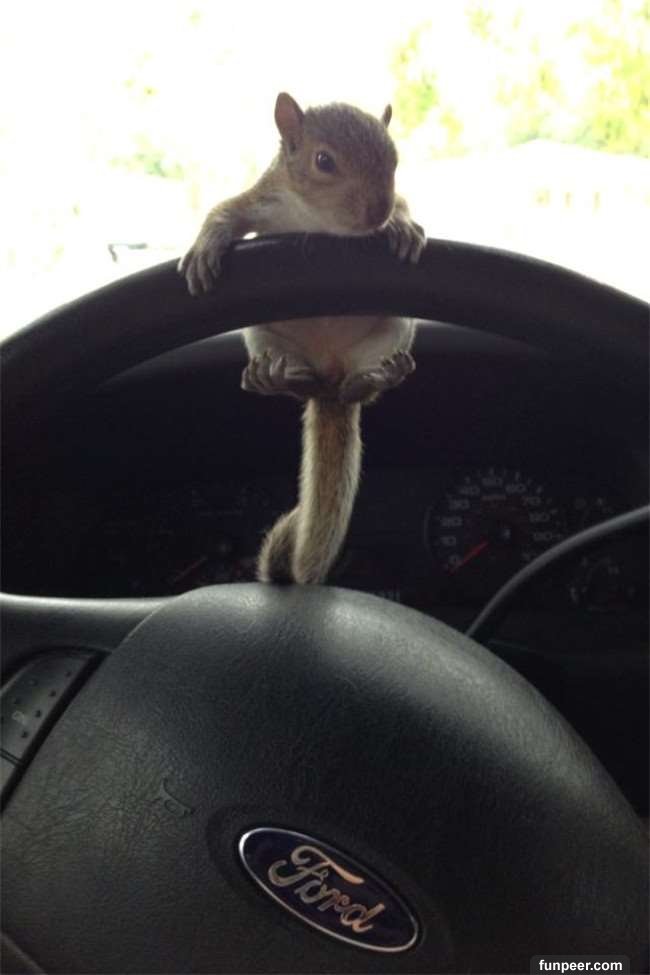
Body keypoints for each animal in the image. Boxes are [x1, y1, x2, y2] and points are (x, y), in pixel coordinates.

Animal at [179, 92, 425, 584]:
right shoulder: (263, 198)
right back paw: (274, 377)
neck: (322, 222)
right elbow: (224, 212)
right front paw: (204, 247)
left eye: (394, 159)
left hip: (393, 328)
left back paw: (378, 376)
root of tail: (330, 379)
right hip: (262, 332)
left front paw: (402, 225)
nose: (378, 212)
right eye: (323, 161)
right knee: (295, 382)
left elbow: (407, 207)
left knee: (364, 386)